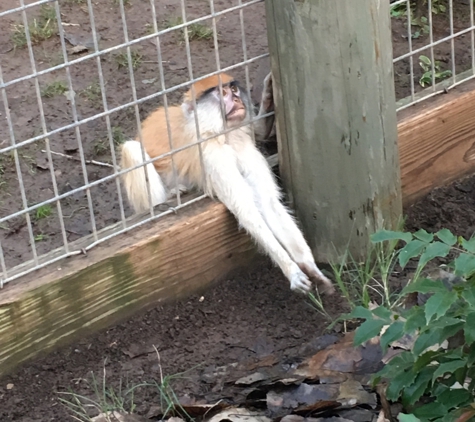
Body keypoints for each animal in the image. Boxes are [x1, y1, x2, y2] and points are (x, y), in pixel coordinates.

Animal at [119, 72, 334, 296]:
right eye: (221, 93)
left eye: (233, 89)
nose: (237, 99)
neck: (223, 133)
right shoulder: (213, 157)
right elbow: (246, 210)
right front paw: (292, 271)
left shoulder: (243, 145)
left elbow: (268, 203)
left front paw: (311, 268)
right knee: (132, 149)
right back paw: (169, 196)